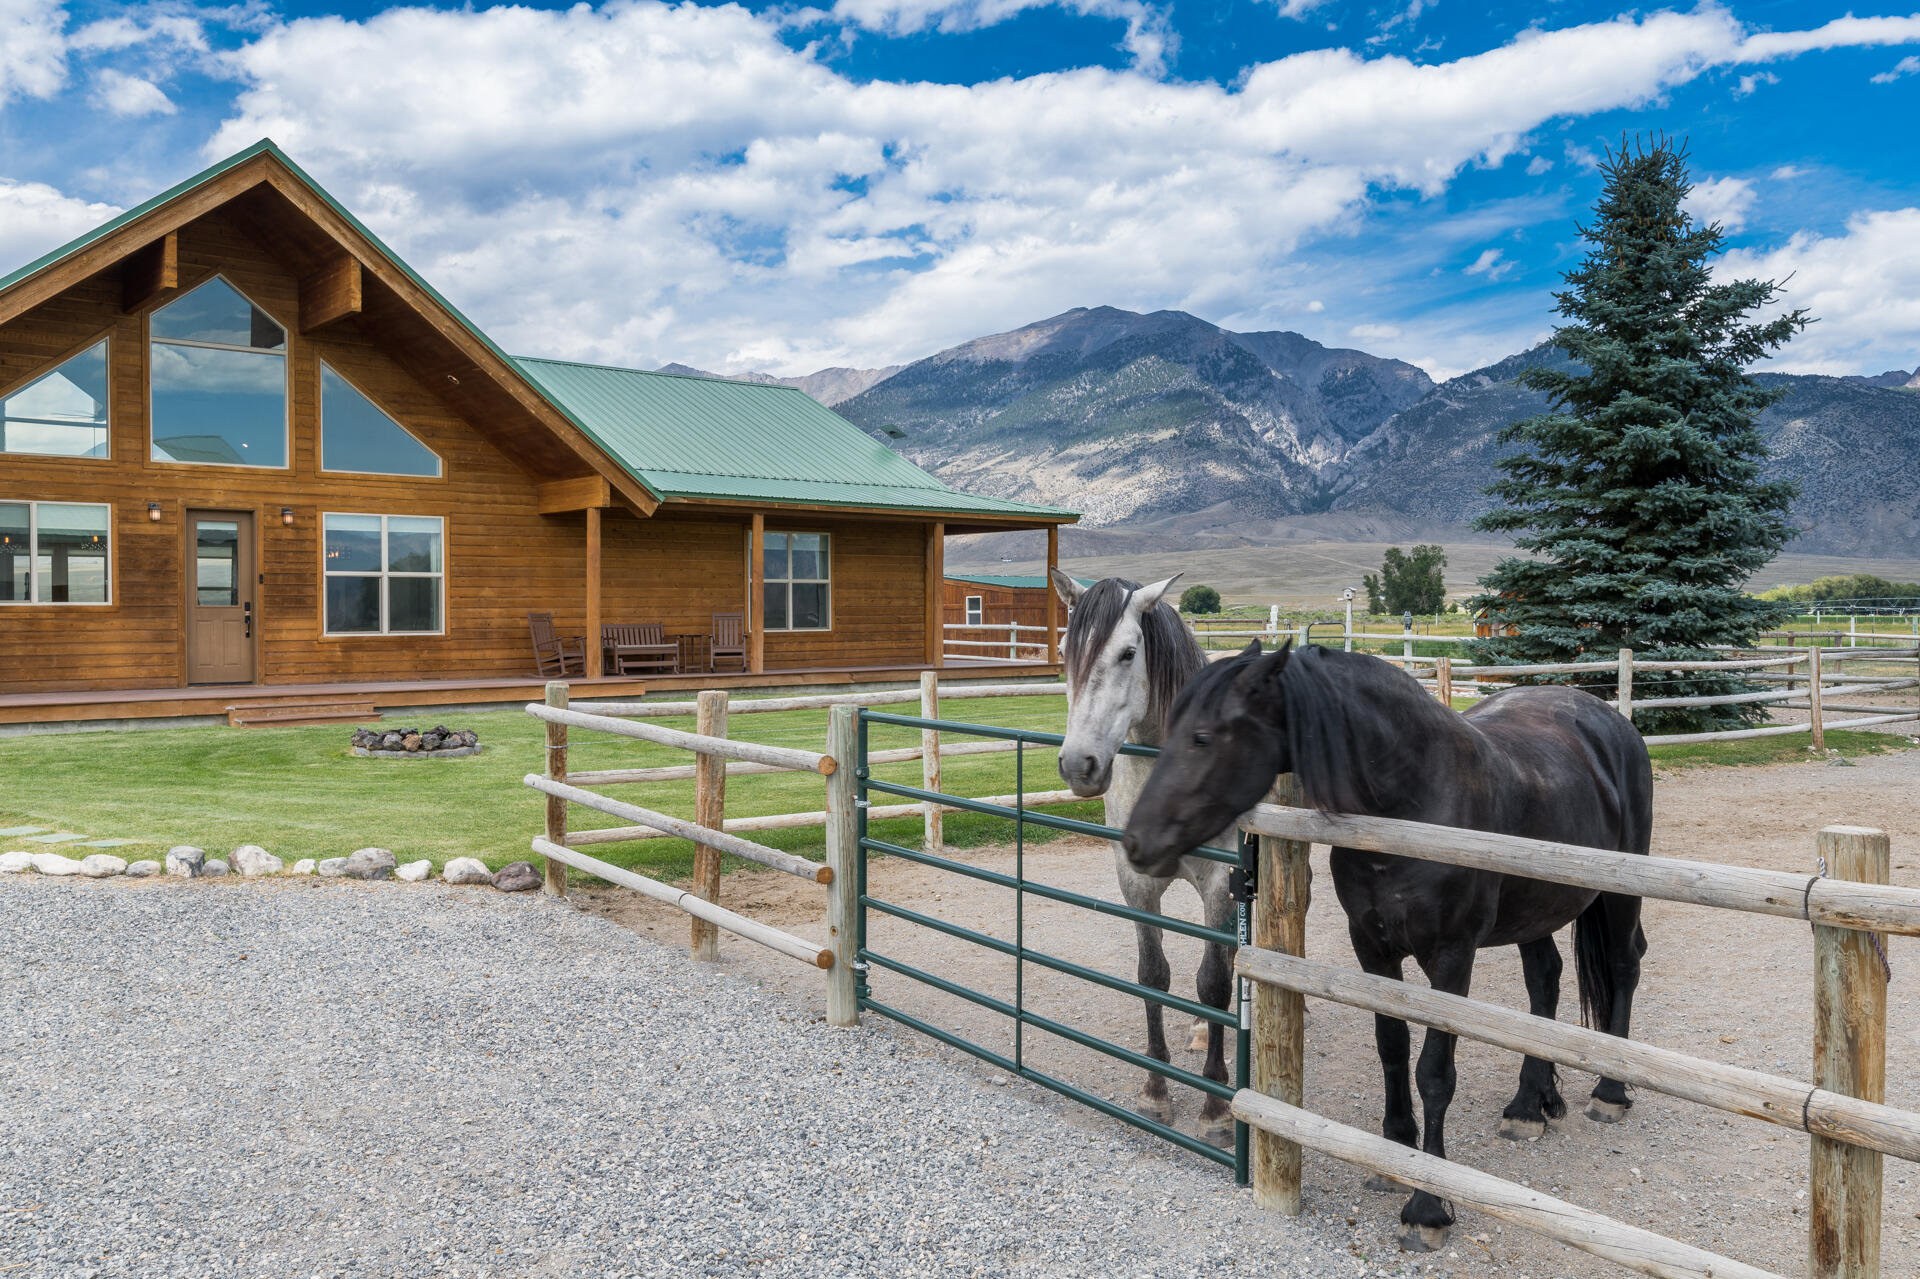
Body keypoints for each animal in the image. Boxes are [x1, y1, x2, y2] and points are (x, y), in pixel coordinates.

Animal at [1048, 568, 1241, 1147]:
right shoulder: (1135, 883)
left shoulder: (1220, 881)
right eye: (1064, 651)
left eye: (1129, 652)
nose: (1078, 765)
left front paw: (1216, 1111)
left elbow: (1213, 983)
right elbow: (1154, 975)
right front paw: (1155, 1093)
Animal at [1119, 639, 1651, 1252]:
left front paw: (1427, 1206)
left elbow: (1434, 1073)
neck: (1413, 799)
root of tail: (1610, 720)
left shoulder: (1452, 960)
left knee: (1623, 964)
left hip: (1620, 893)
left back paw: (1610, 1092)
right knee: (1545, 981)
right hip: (1536, 912)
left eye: (1204, 736)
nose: (1136, 841)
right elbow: (1392, 1048)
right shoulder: (1372, 949)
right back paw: (1529, 1107)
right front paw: (1394, 1155)